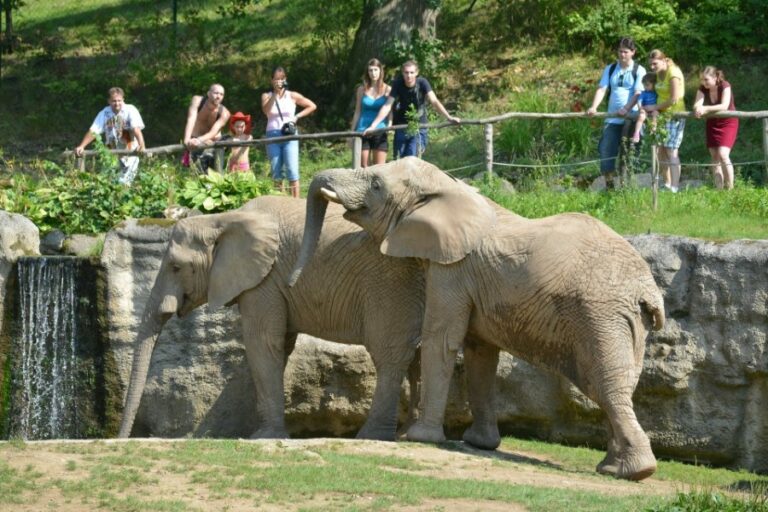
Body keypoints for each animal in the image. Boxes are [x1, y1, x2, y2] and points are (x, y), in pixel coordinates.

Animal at [117, 196, 424, 440]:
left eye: (176, 267)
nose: (122, 439)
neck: (222, 219)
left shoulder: (264, 280)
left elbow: (262, 344)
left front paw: (263, 436)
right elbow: (280, 346)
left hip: (390, 282)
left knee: (389, 355)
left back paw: (373, 436)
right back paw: (406, 434)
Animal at [292, 158, 664, 482]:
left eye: (376, 184)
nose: (294, 281)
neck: (448, 188)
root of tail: (648, 289)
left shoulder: (452, 270)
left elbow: (441, 339)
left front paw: (419, 438)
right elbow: (479, 354)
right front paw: (479, 443)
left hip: (600, 315)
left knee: (604, 383)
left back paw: (633, 472)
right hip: (625, 322)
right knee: (618, 384)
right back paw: (612, 467)